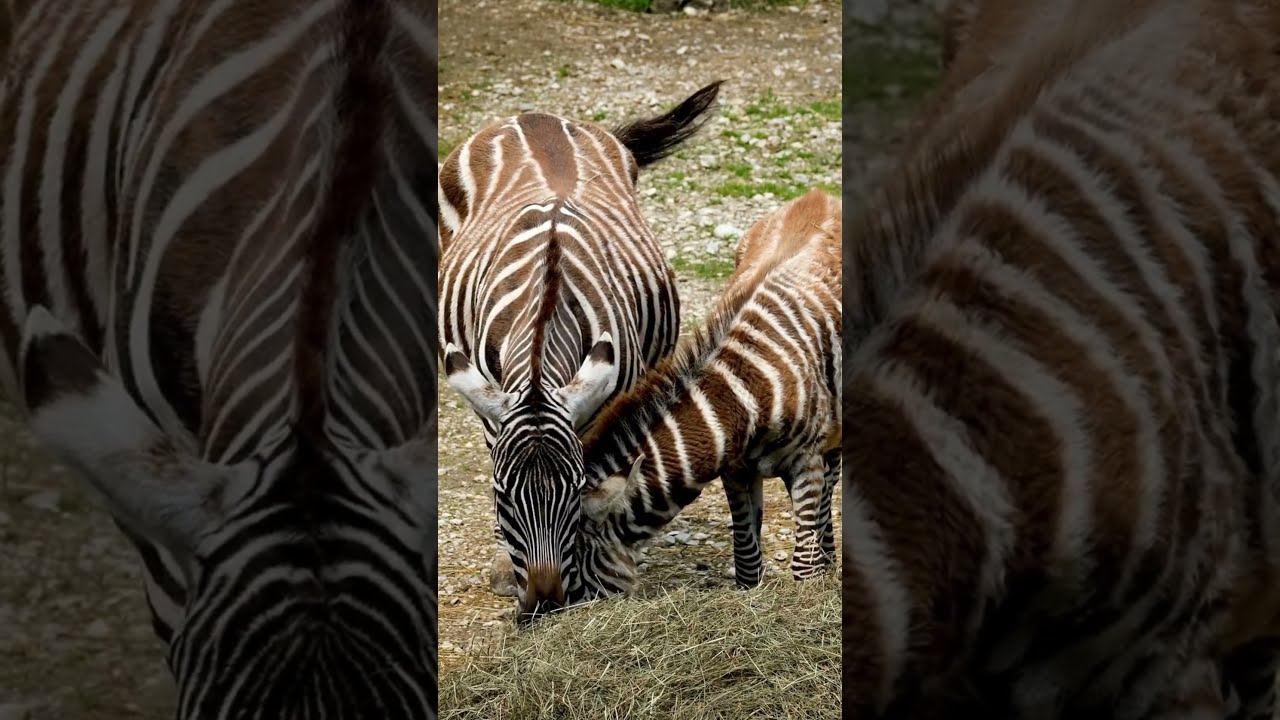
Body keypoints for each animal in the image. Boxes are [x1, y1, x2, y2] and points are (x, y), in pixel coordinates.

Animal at [546, 189, 842, 609]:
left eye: (571, 561)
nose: (543, 610)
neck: (746, 399)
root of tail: (819, 196)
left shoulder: (806, 463)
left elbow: (803, 565)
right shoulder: (735, 470)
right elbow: (747, 562)